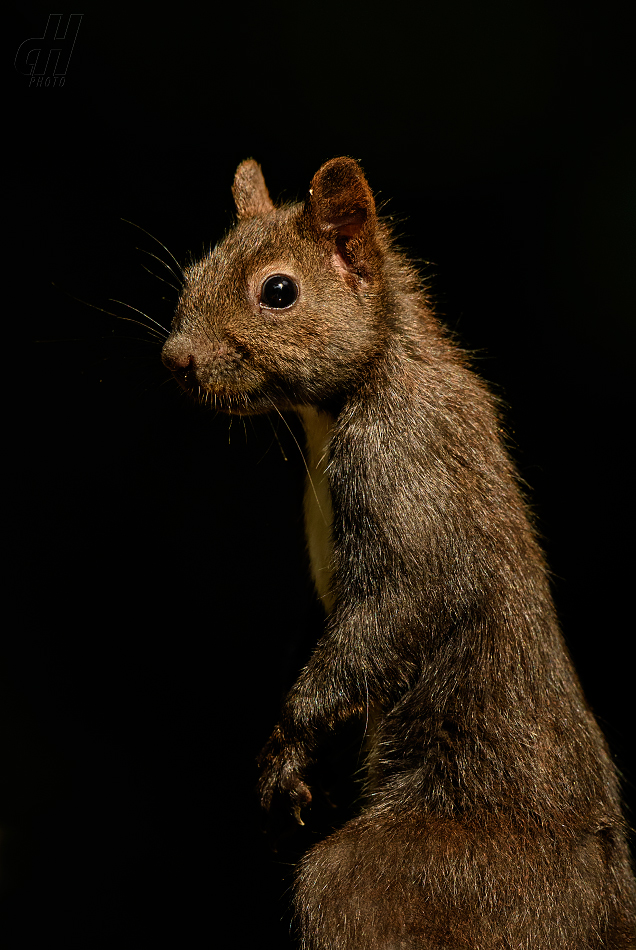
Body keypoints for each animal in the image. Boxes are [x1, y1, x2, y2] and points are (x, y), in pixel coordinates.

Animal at [161, 158, 632, 950]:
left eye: (279, 292)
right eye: (195, 272)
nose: (176, 360)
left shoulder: (404, 482)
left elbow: (396, 613)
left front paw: (287, 743)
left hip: (421, 881)